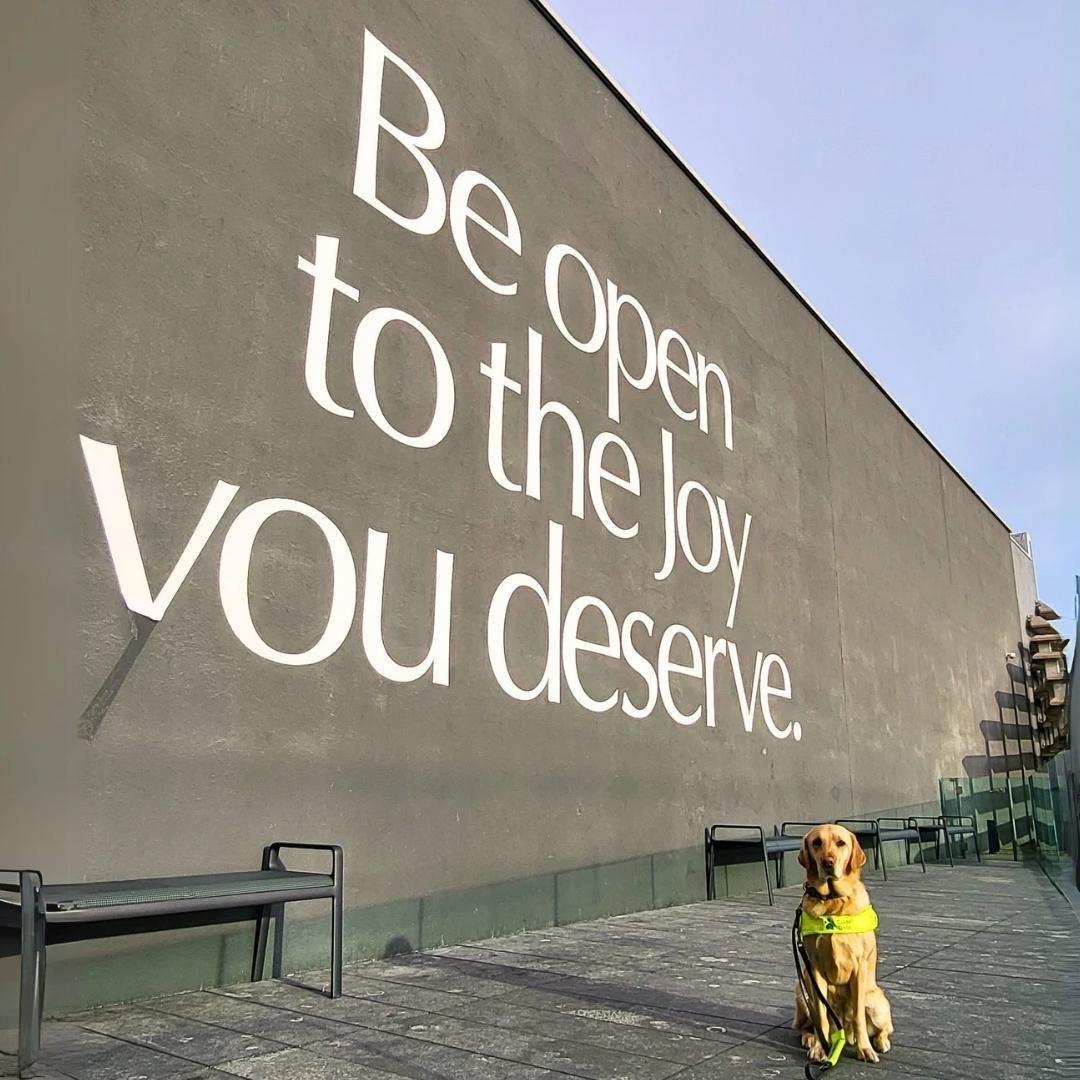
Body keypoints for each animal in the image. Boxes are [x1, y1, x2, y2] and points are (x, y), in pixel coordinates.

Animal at [794, 825, 894, 1062]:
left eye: (841, 843)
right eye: (817, 843)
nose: (828, 862)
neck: (832, 900)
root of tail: (845, 1035)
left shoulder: (859, 968)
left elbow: (858, 1016)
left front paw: (864, 1049)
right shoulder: (814, 970)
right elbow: (821, 1016)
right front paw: (821, 1047)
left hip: (876, 1003)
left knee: (885, 1028)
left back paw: (880, 1042)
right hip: (802, 992)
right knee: (804, 1026)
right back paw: (810, 1038)